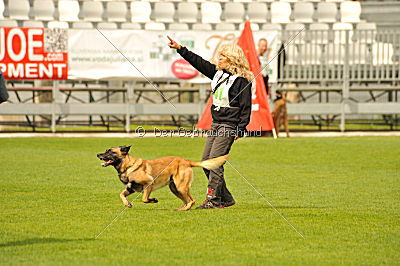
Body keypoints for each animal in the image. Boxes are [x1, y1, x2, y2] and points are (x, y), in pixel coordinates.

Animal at [96, 147, 228, 211]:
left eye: (110, 152)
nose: (98, 154)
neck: (128, 166)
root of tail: (186, 161)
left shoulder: (149, 183)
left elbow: (144, 199)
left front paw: (153, 200)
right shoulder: (131, 188)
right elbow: (121, 195)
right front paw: (127, 203)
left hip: (181, 186)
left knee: (191, 200)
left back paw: (185, 209)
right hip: (174, 188)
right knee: (186, 201)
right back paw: (181, 208)